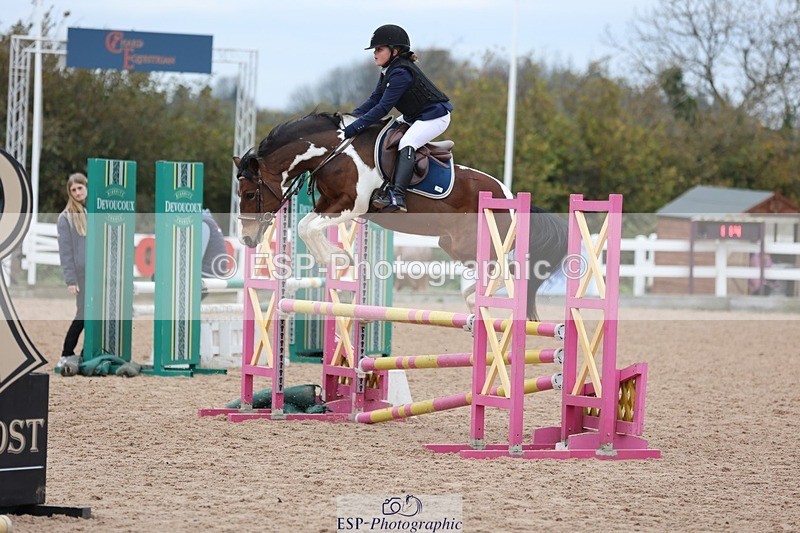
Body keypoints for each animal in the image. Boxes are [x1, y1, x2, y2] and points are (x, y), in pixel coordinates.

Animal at [233, 112, 568, 320]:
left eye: (249, 194)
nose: (247, 239)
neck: (334, 153)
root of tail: (508, 196)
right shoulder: (330, 202)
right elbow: (306, 226)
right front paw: (336, 260)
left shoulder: (350, 204)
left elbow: (308, 228)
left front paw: (339, 259)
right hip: (453, 245)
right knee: (500, 271)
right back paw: (474, 295)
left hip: (477, 240)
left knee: (509, 271)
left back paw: (476, 298)